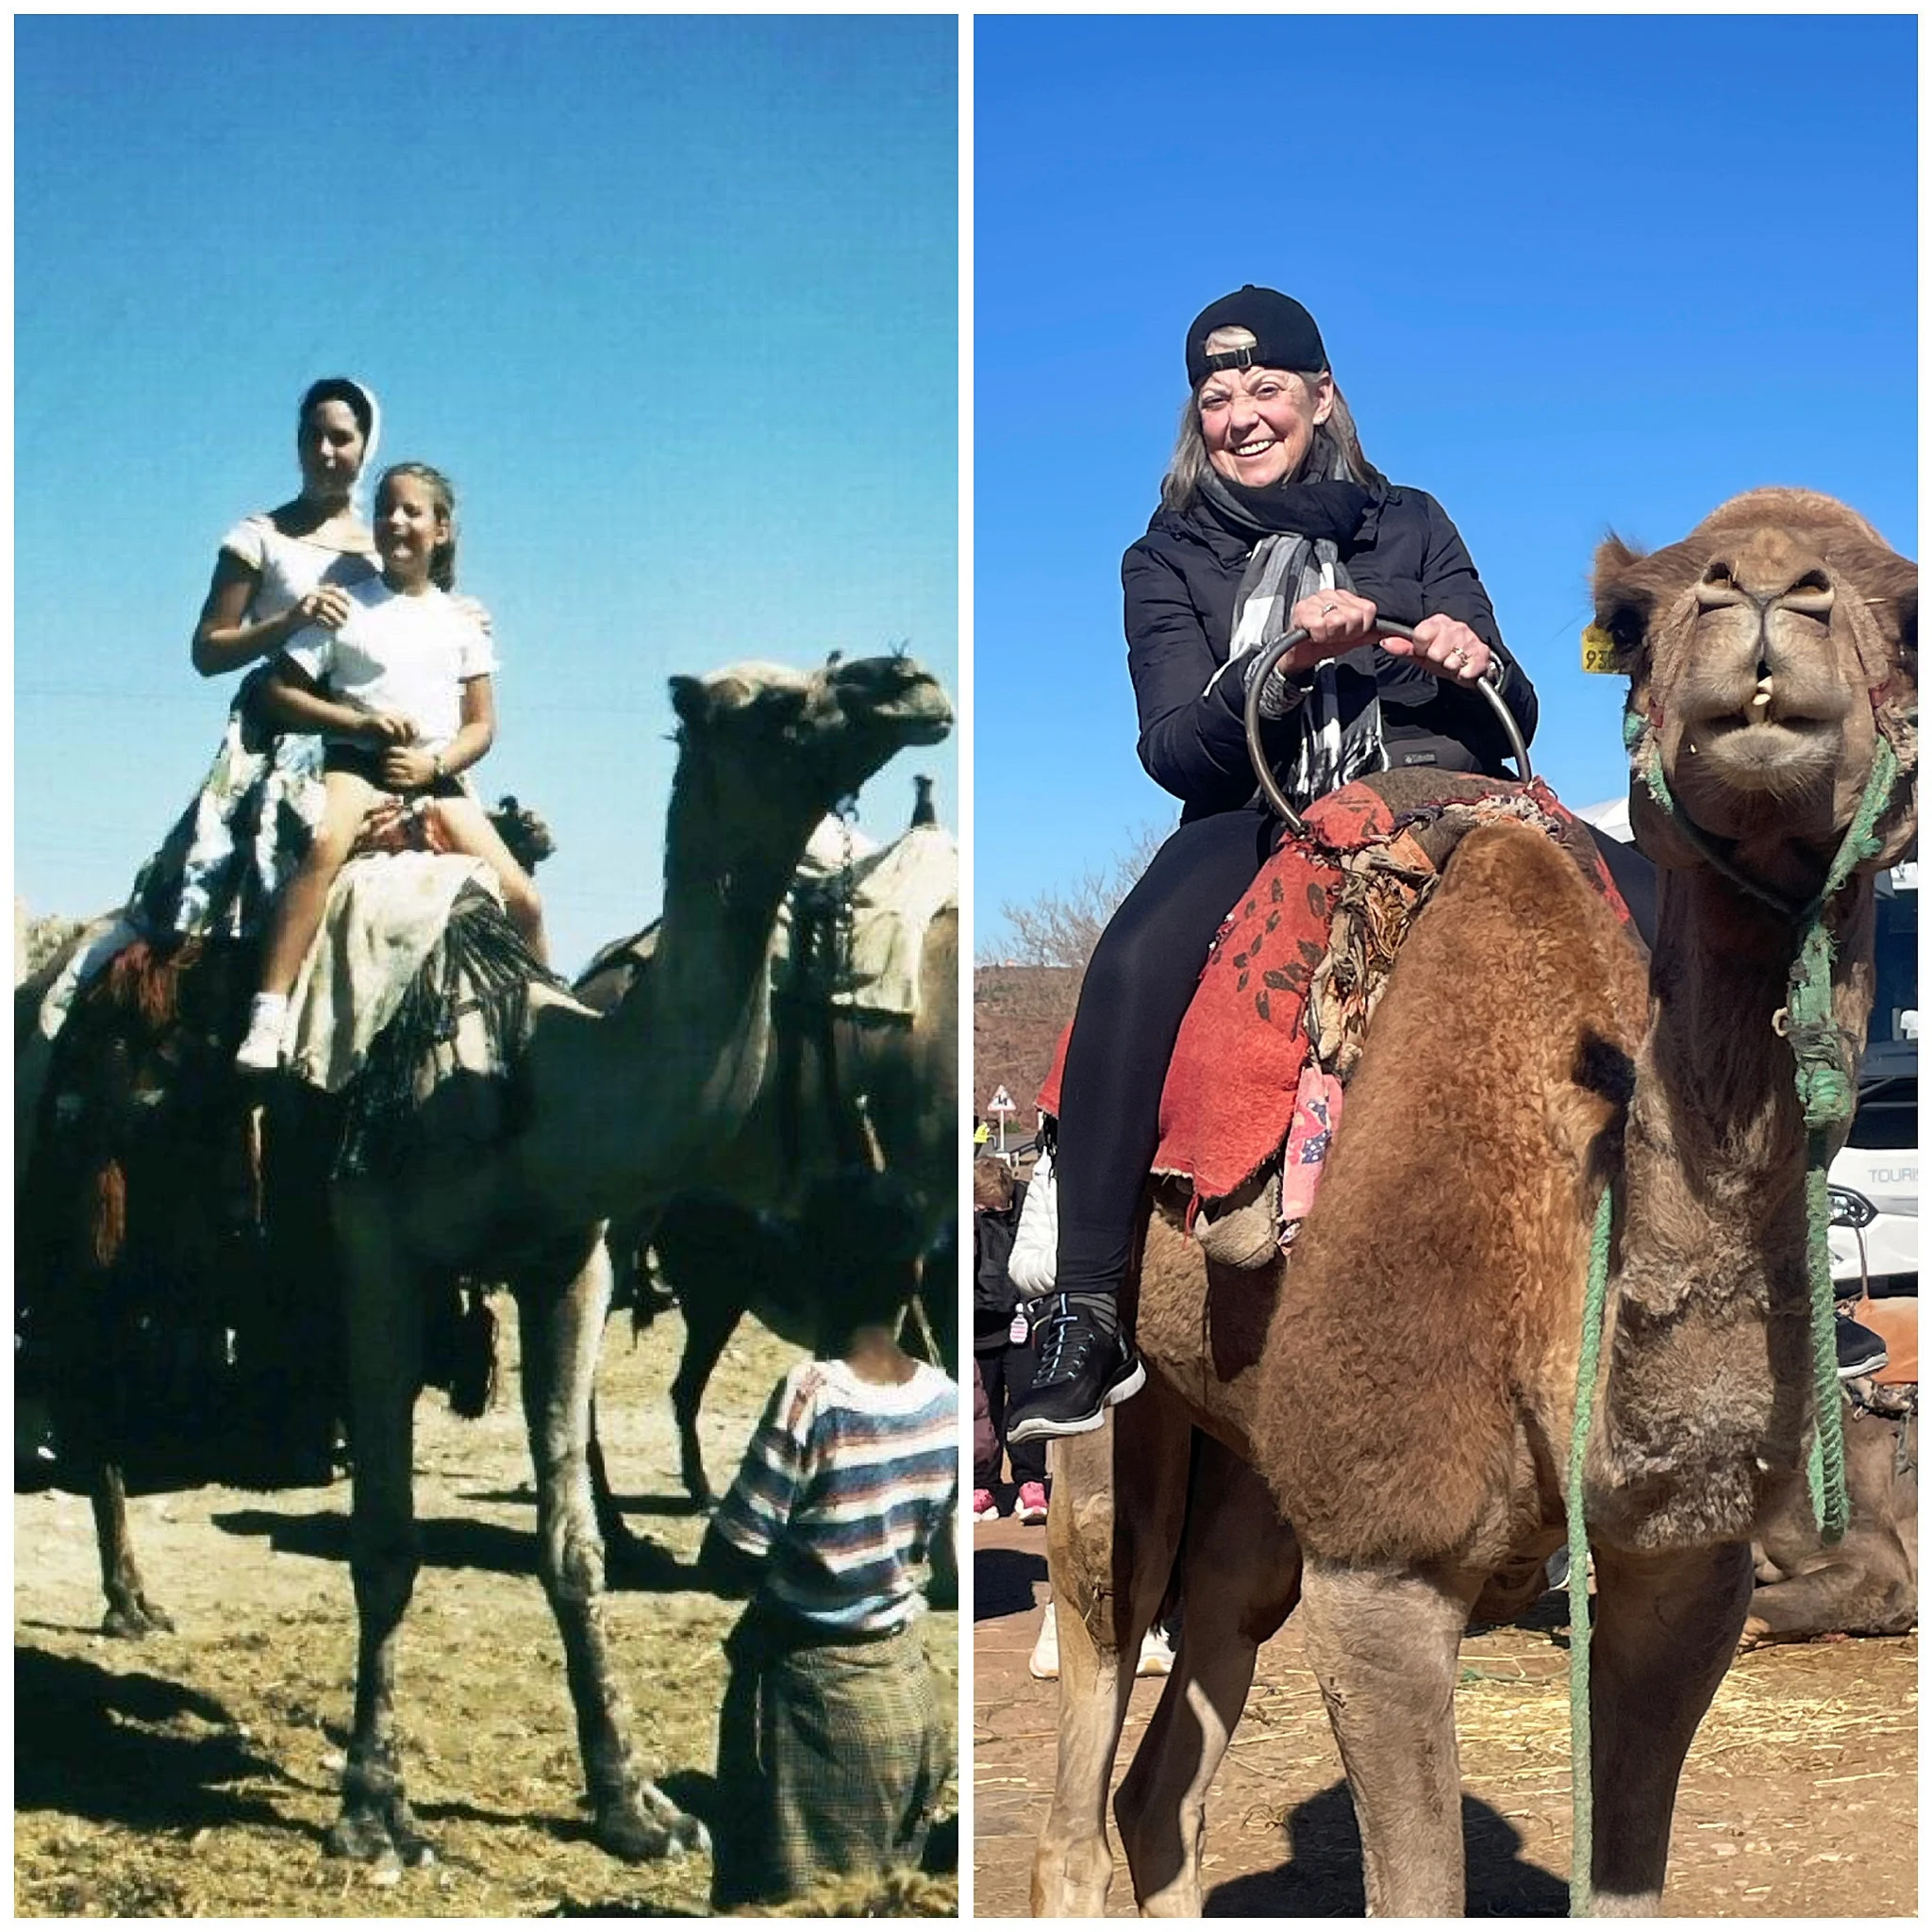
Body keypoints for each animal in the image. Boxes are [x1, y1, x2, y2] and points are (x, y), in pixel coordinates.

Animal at [1030, 488, 1915, 1916]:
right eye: (1635, 614)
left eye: (1905, 610)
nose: (1768, 595)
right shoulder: (1380, 1570)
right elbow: (1417, 1887)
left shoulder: (1683, 1577)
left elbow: (1625, 1884)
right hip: (1119, 1432)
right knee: (1094, 1701)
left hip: (1261, 1476)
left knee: (1168, 1771)